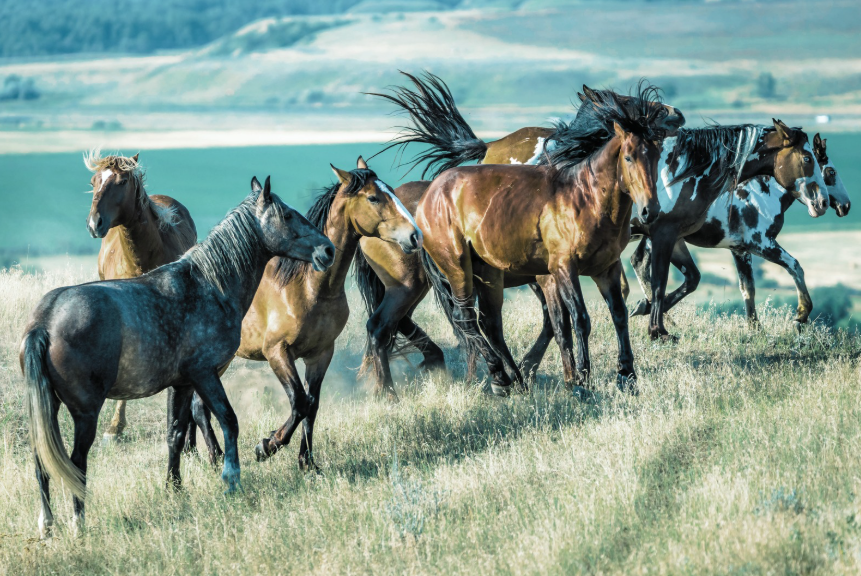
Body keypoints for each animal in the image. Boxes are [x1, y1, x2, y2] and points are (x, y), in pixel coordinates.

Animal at [226, 158, 421, 465]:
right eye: (373, 197)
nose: (415, 236)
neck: (309, 286)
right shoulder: (277, 352)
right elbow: (300, 402)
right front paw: (267, 445)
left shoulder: (320, 354)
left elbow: (312, 405)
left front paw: (307, 462)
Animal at [355, 76, 683, 395]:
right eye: (628, 157)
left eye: (656, 156)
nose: (675, 114)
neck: (583, 195)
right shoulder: (558, 271)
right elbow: (572, 321)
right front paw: (578, 381)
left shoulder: (606, 268)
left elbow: (615, 314)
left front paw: (625, 376)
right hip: (441, 274)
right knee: (441, 320)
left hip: (479, 276)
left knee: (480, 323)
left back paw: (507, 379)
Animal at [624, 120, 828, 340]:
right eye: (807, 159)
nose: (823, 203)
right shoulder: (760, 242)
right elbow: (794, 265)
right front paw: (802, 314)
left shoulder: (731, 247)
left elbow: (741, 286)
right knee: (639, 264)